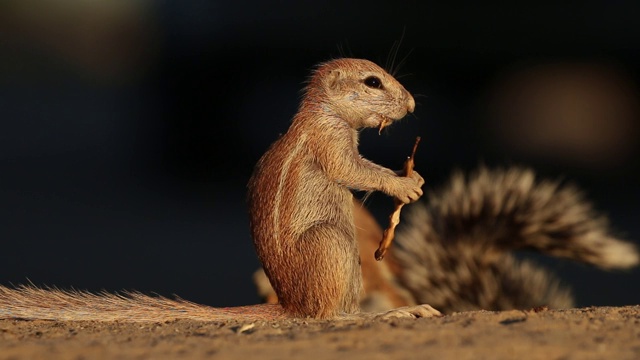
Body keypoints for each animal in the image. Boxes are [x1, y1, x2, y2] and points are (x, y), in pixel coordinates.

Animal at [0, 57, 440, 322]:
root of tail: (290, 305)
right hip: (332, 242)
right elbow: (354, 170)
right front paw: (403, 184)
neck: (324, 113)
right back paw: (389, 314)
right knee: (330, 316)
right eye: (373, 81)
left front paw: (416, 179)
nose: (413, 104)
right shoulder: (329, 142)